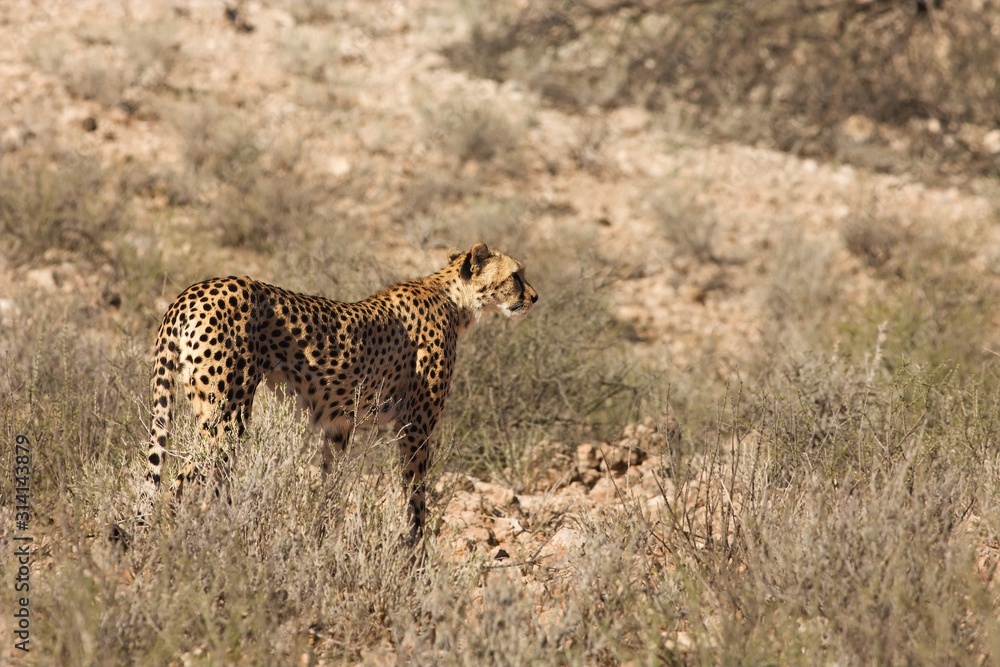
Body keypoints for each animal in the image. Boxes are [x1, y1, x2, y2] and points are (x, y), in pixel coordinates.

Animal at [144, 242, 537, 542]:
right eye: (516, 276)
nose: (535, 297)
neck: (454, 299)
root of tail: (193, 291)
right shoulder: (415, 428)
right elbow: (415, 495)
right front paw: (416, 555)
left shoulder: (337, 428)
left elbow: (330, 489)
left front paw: (321, 541)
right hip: (226, 415)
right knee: (187, 484)